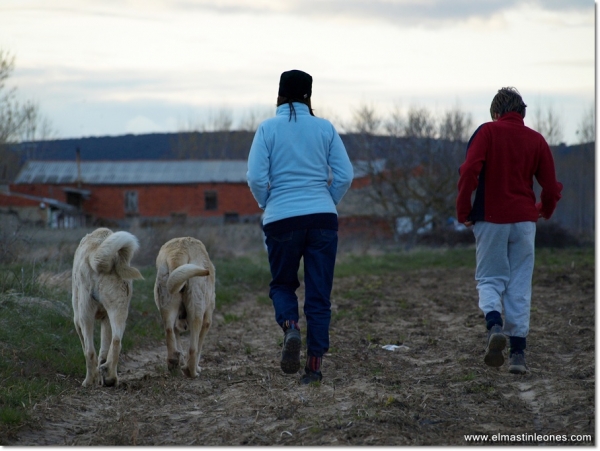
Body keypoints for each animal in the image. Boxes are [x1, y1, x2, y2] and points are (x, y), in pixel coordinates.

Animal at [71, 228, 143, 386]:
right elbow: (104, 350)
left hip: (85, 315)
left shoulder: (78, 321)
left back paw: (88, 381)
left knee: (90, 351)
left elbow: (87, 350)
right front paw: (102, 375)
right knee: (116, 342)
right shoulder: (106, 320)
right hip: (118, 311)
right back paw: (110, 377)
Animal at [155, 238, 216, 380]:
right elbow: (198, 347)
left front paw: (180, 361)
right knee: (193, 348)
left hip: (167, 302)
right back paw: (192, 371)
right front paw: (195, 367)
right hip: (196, 310)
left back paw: (173, 362)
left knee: (169, 331)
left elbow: (177, 341)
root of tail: (177, 254)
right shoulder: (207, 320)